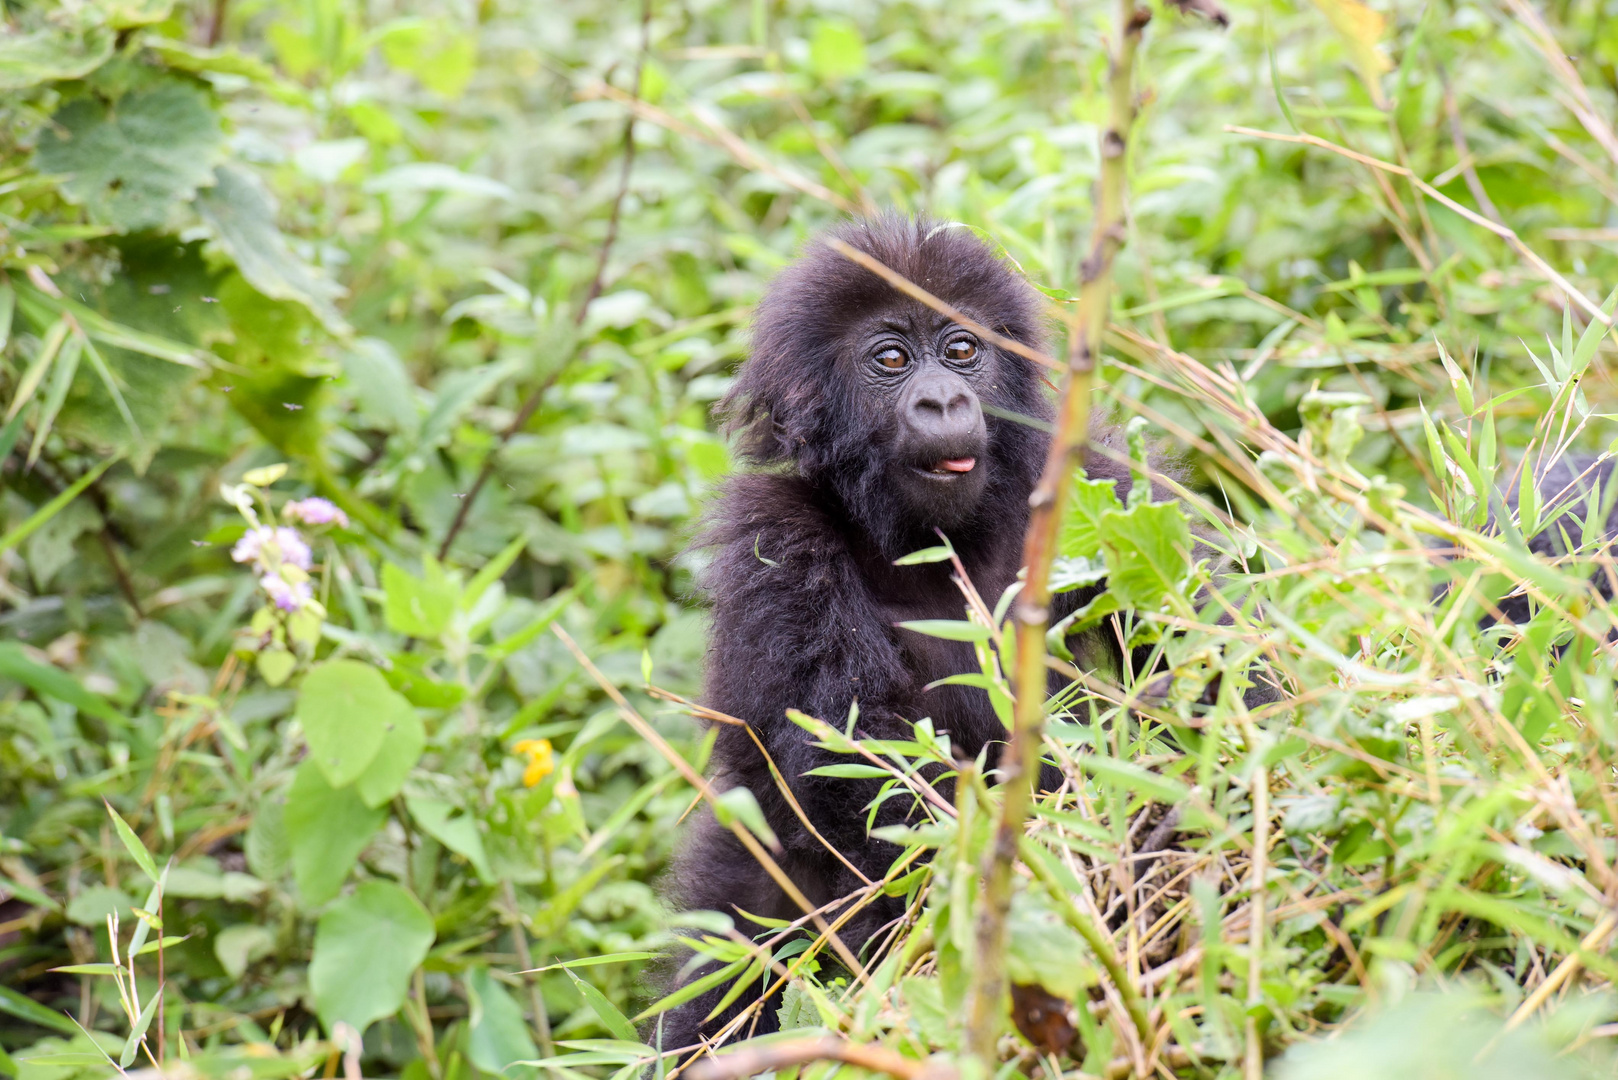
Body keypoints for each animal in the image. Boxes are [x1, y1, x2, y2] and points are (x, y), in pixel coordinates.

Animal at [656, 215, 1177, 1049]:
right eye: (892, 360)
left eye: (961, 349)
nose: (941, 400)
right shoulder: (774, 538)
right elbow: (866, 771)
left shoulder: (1100, 483)